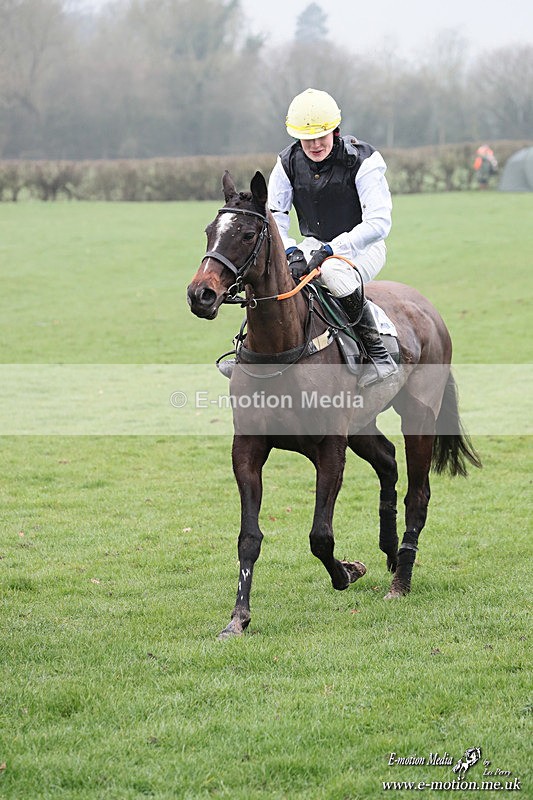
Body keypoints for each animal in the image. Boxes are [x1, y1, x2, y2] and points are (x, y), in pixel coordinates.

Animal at [187, 170, 481, 639]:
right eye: (210, 231)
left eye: (247, 234)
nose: (201, 294)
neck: (282, 347)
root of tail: (428, 309)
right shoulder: (248, 446)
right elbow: (249, 537)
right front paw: (238, 617)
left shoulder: (330, 445)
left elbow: (320, 535)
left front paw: (348, 571)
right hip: (361, 426)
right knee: (388, 461)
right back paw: (390, 552)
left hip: (419, 416)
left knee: (417, 493)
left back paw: (400, 581)